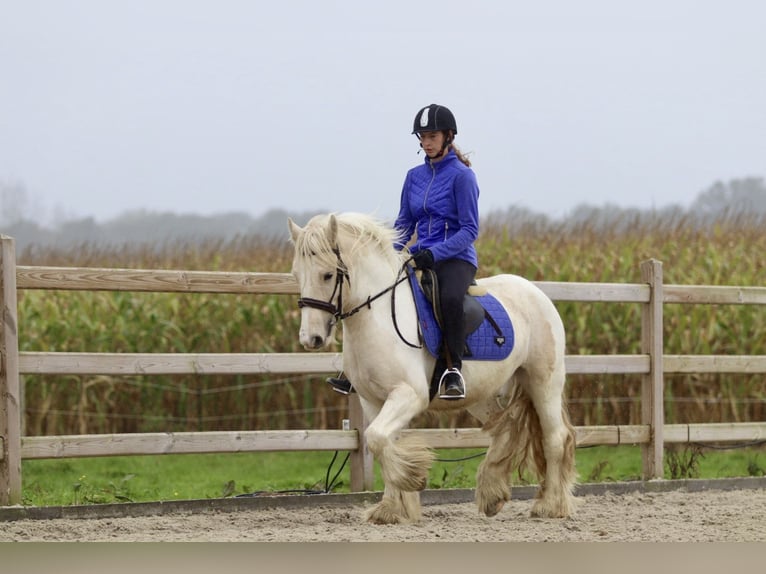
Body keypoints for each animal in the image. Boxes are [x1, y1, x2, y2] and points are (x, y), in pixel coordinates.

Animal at [288, 213, 576, 528]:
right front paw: (391, 508)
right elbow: (380, 442)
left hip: (543, 382)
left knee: (554, 438)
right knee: (505, 429)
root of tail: (535, 292)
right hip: (483, 394)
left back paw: (550, 506)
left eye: (328, 275)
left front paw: (412, 479)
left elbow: (377, 438)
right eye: (296, 275)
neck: (378, 317)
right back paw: (493, 495)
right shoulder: (373, 401)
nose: (311, 338)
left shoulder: (409, 395)